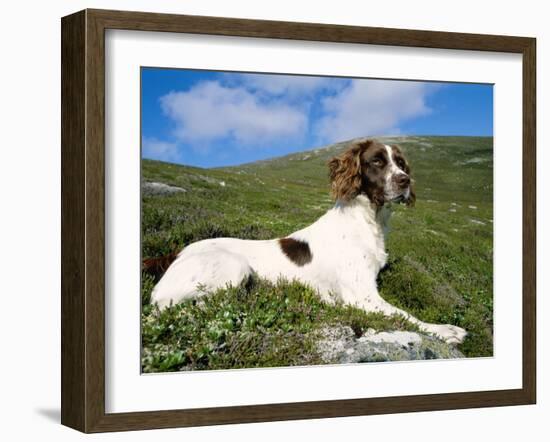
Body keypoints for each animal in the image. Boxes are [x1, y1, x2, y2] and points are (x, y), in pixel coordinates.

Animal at [152, 139, 470, 346]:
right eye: (377, 161)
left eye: (401, 163)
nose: (405, 181)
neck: (368, 221)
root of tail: (176, 254)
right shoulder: (362, 296)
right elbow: (406, 315)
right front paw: (447, 331)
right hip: (234, 266)